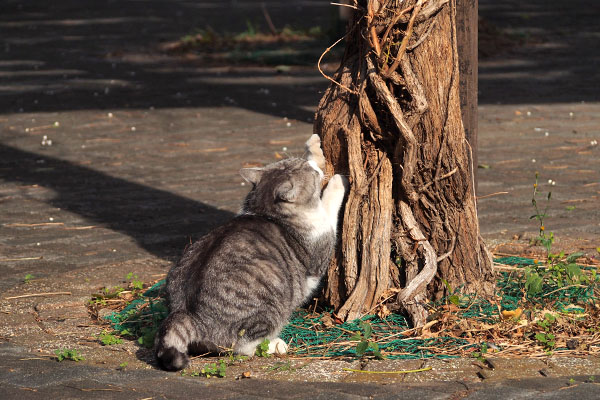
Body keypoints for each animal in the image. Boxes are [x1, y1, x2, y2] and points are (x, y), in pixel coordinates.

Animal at [154, 135, 346, 372]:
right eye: (309, 173)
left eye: (305, 165)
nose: (314, 168)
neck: (265, 211)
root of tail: (187, 314)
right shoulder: (322, 240)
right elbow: (328, 207)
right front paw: (337, 181)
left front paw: (313, 147)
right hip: (269, 305)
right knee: (242, 348)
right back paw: (275, 345)